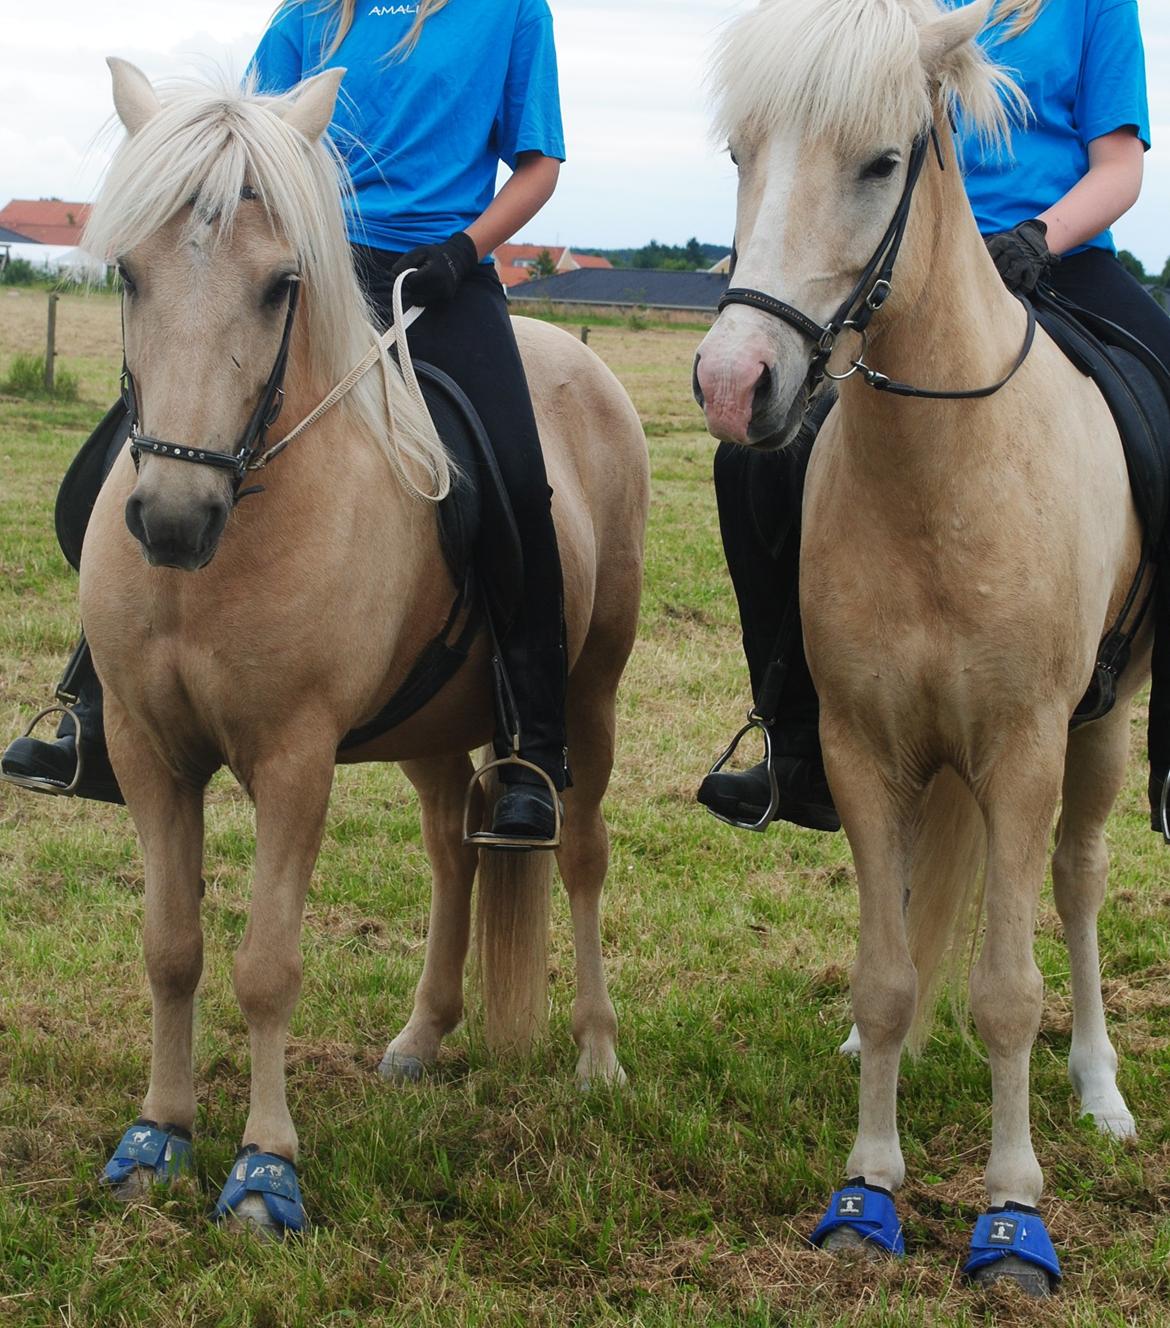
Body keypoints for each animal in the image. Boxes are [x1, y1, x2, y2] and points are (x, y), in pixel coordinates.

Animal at [80, 62, 648, 1232]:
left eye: (279, 284)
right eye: (127, 271)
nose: (172, 520)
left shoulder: (296, 760)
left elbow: (265, 964)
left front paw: (263, 1168)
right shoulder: (147, 750)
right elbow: (171, 948)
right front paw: (158, 1136)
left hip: (592, 696)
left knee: (579, 854)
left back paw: (596, 1055)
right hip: (433, 726)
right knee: (453, 853)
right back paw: (423, 1036)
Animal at [695, 0, 1147, 1296]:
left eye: (882, 162)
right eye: (742, 154)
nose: (734, 384)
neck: (942, 472)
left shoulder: (1023, 751)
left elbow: (1005, 993)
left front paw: (1012, 1211)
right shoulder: (860, 746)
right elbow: (890, 973)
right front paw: (868, 1186)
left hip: (1102, 729)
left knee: (1078, 880)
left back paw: (1101, 1089)